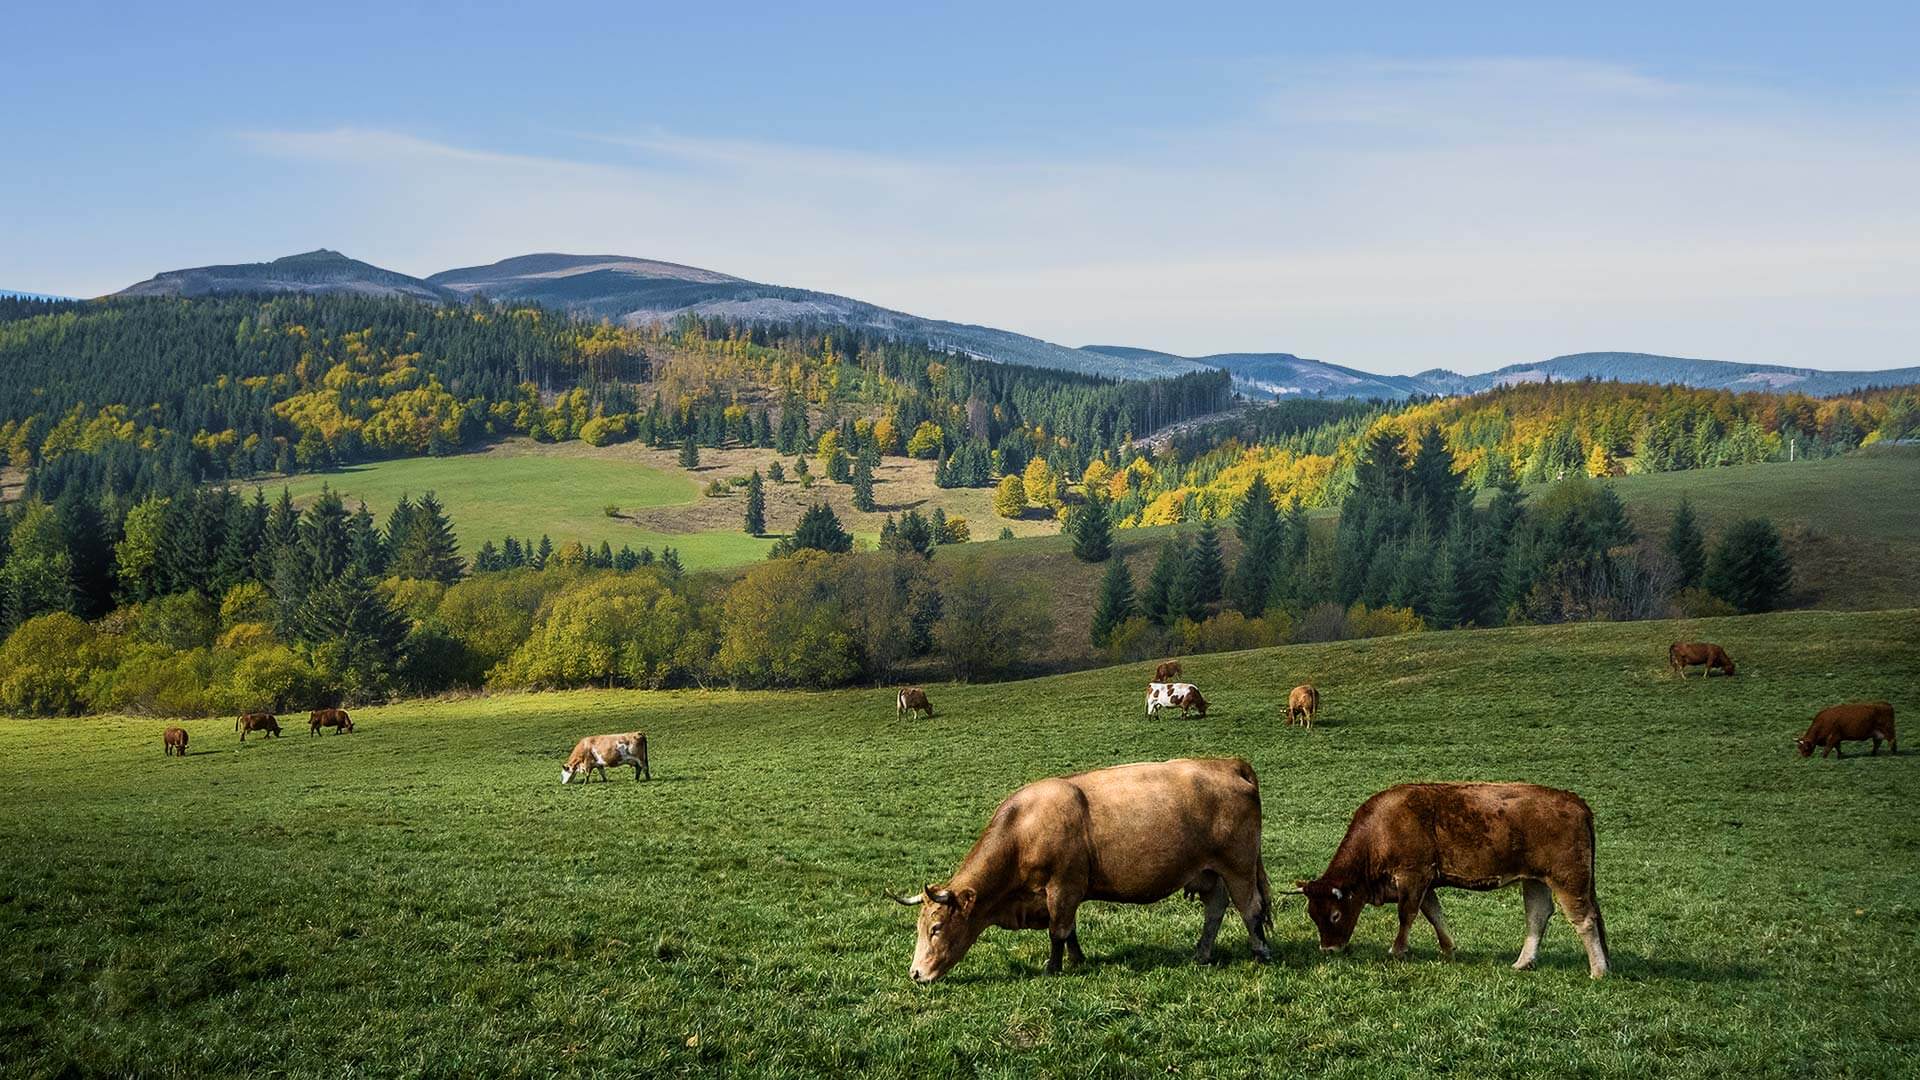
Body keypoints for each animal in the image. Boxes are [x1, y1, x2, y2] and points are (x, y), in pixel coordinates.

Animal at [894, 753, 1274, 980]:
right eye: (920, 927)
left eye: (937, 928)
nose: (915, 974)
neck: (1023, 828)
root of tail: (1226, 764)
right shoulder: (1064, 893)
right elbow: (1070, 930)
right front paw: (1078, 960)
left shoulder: (1063, 887)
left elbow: (1058, 931)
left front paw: (1053, 967)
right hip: (1210, 873)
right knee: (1215, 910)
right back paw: (1202, 953)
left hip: (1239, 868)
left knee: (1250, 909)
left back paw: (1260, 953)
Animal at [1290, 780, 1605, 976]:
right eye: (1312, 915)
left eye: (1334, 915)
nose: (1329, 949)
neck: (1380, 831)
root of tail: (1574, 800)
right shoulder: (1426, 882)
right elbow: (1434, 914)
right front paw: (1448, 949)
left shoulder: (1413, 876)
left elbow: (1407, 914)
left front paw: (1397, 950)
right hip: (1536, 880)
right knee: (1538, 916)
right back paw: (1522, 962)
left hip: (1568, 878)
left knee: (1584, 919)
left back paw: (1598, 970)